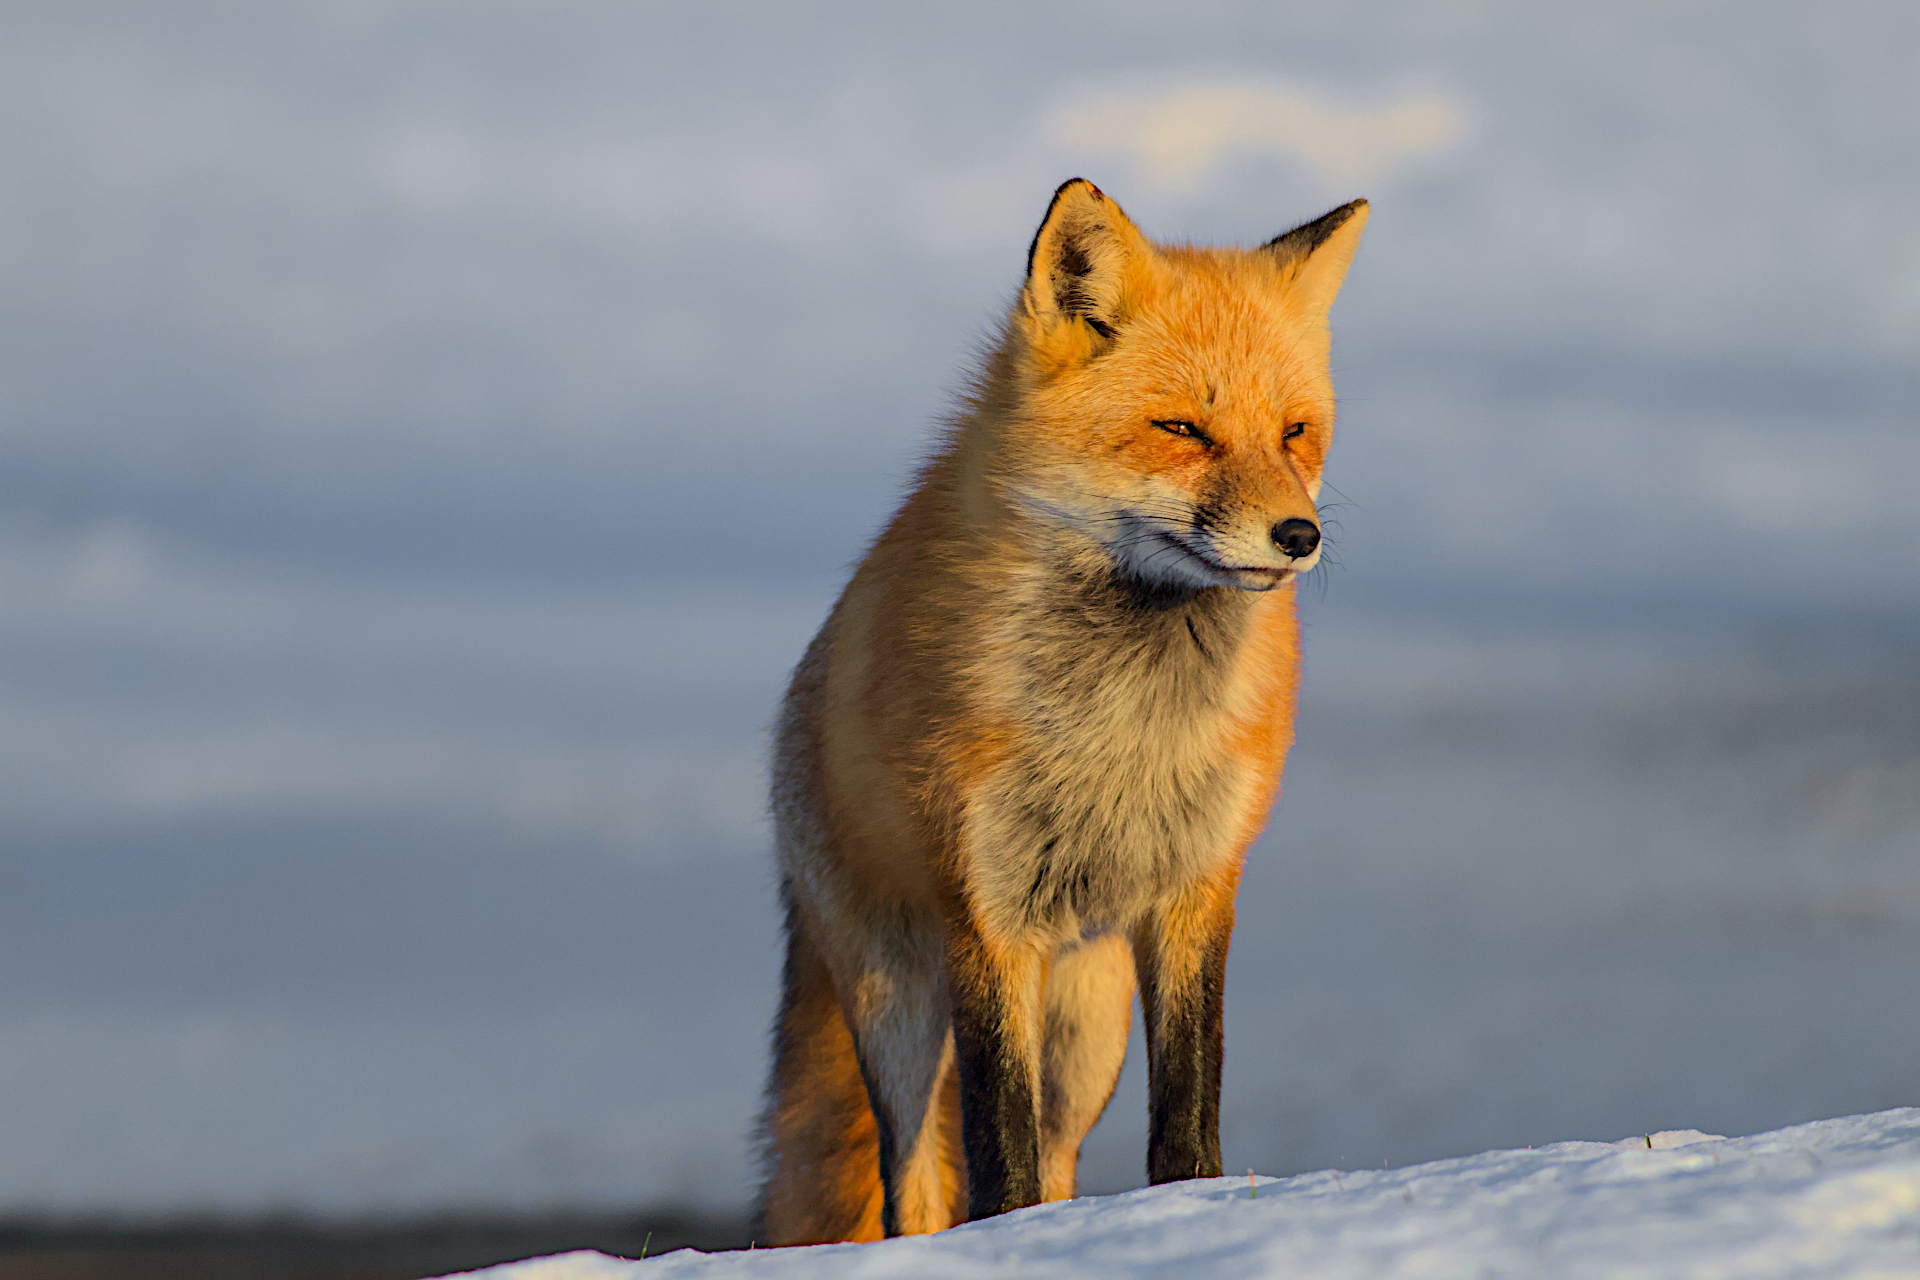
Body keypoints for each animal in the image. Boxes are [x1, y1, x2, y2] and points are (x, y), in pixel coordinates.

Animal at [755, 178, 1368, 1244]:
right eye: (1182, 430)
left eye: (1294, 432)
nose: (1300, 536)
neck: (1123, 727)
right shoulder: (988, 912)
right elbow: (995, 1150)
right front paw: (1008, 1245)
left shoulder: (1196, 888)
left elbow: (1186, 1113)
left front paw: (1190, 1218)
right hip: (898, 1002)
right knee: (912, 1181)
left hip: (1088, 1025)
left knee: (1059, 1158)